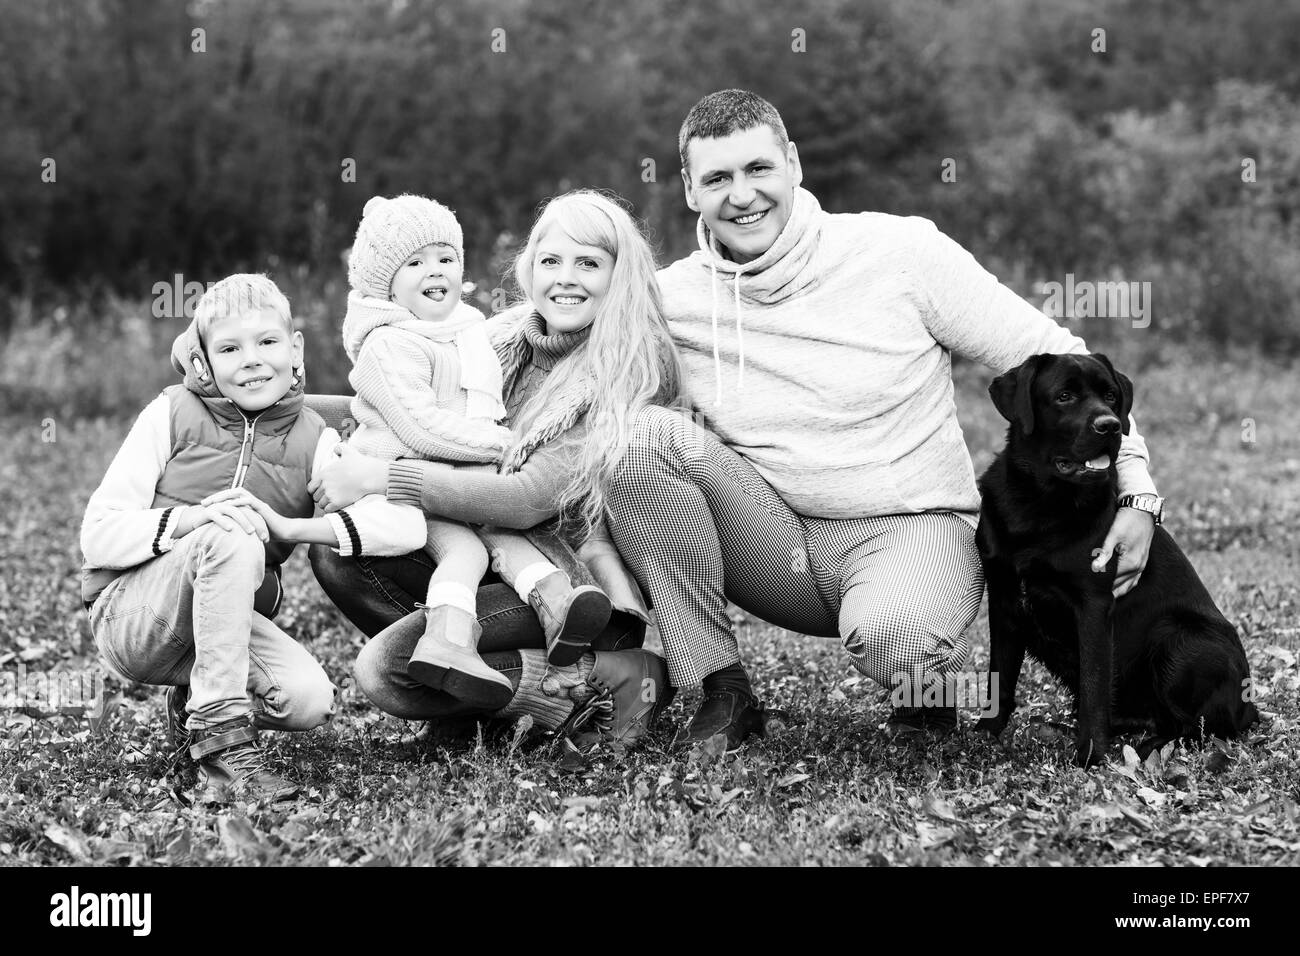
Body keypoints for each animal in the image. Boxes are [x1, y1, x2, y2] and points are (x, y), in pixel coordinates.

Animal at [977, 356, 1253, 764]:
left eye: (1110, 396)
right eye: (1064, 396)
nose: (1109, 425)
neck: (1038, 502)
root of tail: (1250, 707)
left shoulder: (1092, 605)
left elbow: (1094, 685)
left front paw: (1091, 755)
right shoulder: (1004, 600)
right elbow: (1000, 678)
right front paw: (985, 733)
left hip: (1177, 639)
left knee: (1200, 727)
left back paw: (1149, 746)